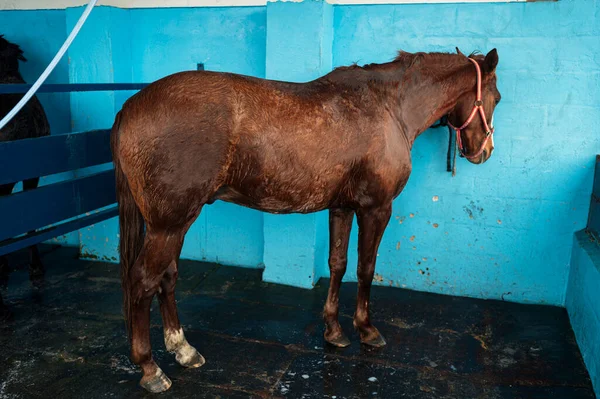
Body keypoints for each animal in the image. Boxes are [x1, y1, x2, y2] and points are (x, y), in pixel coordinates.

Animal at [110, 47, 500, 394]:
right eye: (495, 96)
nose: (483, 152)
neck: (388, 107)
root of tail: (130, 107)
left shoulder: (342, 207)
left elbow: (338, 263)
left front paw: (334, 331)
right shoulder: (376, 208)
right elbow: (366, 269)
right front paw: (366, 330)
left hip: (173, 224)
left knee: (167, 277)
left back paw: (183, 349)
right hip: (168, 226)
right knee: (143, 281)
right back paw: (150, 368)